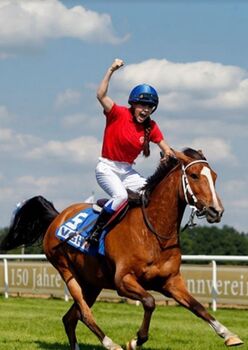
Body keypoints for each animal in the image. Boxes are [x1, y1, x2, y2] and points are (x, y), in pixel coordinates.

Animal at [0, 148, 244, 350]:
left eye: (214, 176)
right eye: (193, 175)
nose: (216, 211)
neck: (153, 232)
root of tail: (57, 217)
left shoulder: (171, 281)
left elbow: (198, 307)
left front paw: (229, 334)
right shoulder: (123, 281)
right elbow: (150, 302)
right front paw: (135, 340)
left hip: (92, 283)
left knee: (70, 318)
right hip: (67, 271)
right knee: (84, 314)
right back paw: (111, 344)